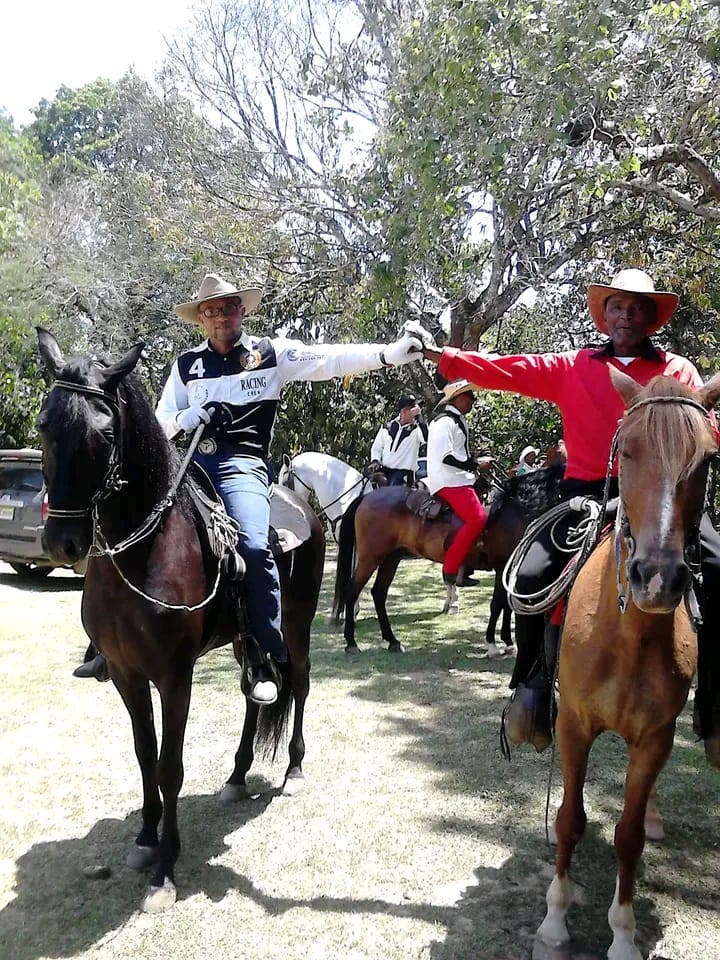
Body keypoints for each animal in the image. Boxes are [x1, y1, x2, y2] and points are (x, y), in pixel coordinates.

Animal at [35, 330, 324, 916]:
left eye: (105, 431)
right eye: (45, 423)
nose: (63, 542)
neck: (142, 552)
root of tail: (304, 500)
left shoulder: (174, 676)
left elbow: (170, 765)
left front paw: (165, 871)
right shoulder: (126, 673)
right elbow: (145, 755)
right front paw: (146, 840)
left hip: (297, 624)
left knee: (300, 683)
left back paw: (294, 769)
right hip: (244, 640)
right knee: (255, 691)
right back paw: (236, 775)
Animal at [332, 464, 564, 652]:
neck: (515, 510)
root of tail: (366, 497)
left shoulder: (510, 568)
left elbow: (505, 605)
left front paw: (507, 641)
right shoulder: (501, 566)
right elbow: (497, 604)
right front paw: (492, 643)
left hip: (391, 557)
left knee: (379, 593)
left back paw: (393, 641)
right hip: (371, 557)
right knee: (352, 590)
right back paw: (351, 643)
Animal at [536, 370, 720, 960]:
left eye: (705, 458)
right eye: (630, 449)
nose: (657, 579)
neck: (628, 636)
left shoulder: (655, 737)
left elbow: (629, 834)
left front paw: (622, 933)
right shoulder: (573, 726)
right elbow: (570, 820)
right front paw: (554, 921)